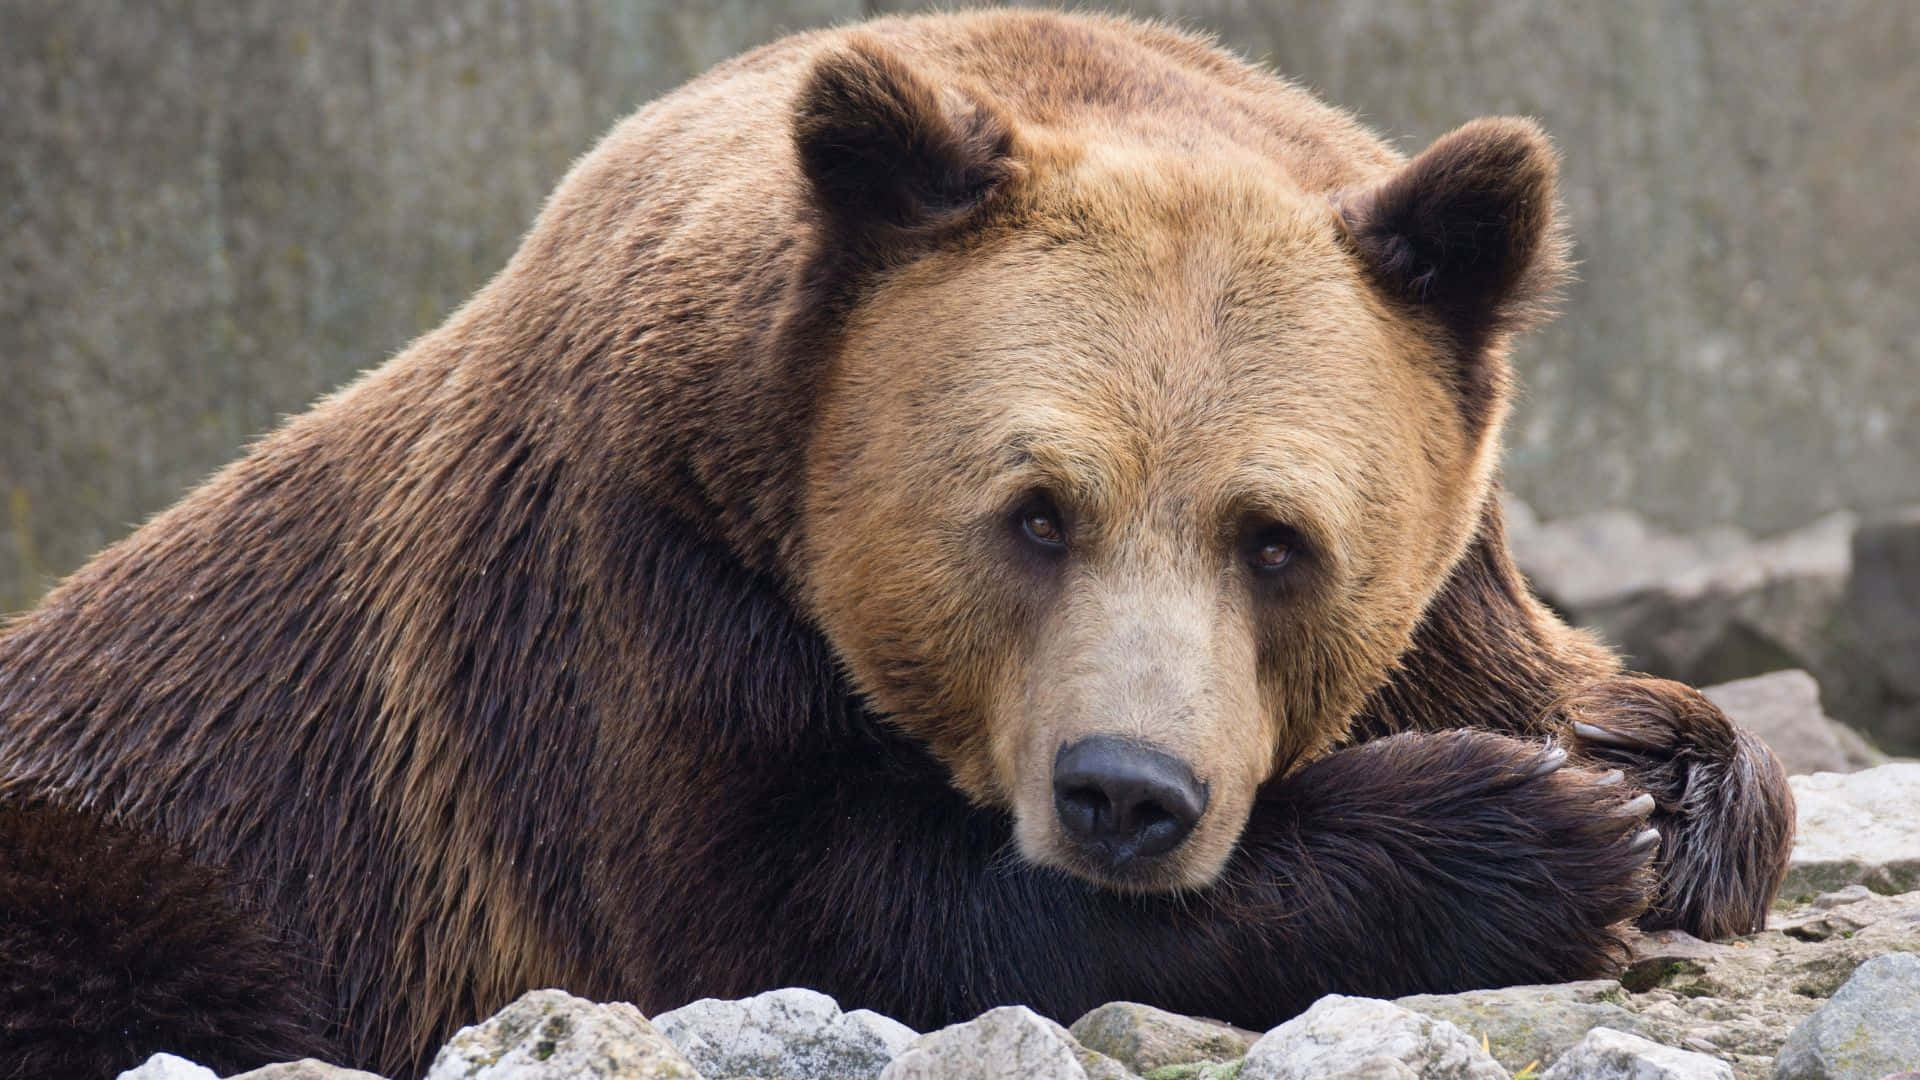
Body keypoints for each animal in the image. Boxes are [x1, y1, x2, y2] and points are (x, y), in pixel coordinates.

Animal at [0, 10, 1793, 1078]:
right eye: (1035, 512)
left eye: (1278, 539)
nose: (1127, 793)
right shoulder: (632, 599)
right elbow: (814, 919)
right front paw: (1532, 830)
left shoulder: (1449, 589)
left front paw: (1656, 788)